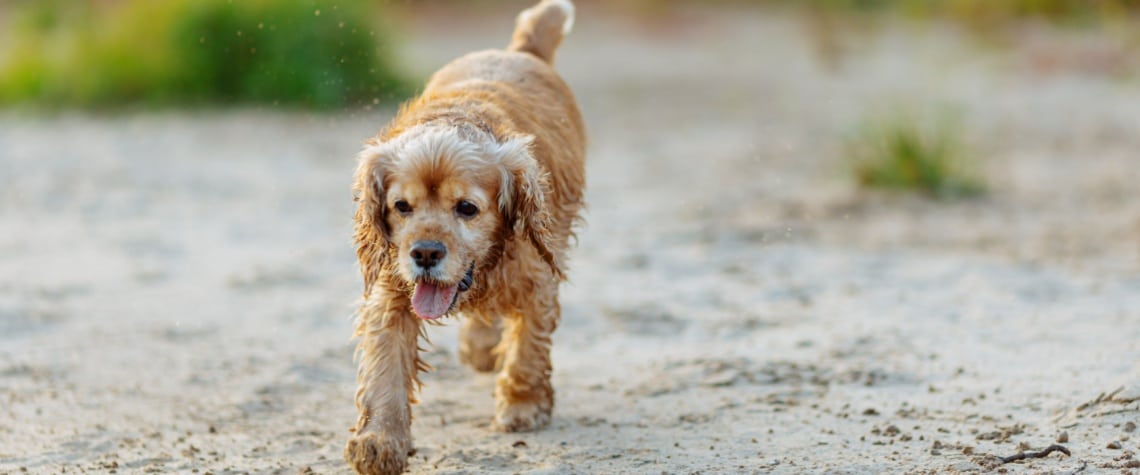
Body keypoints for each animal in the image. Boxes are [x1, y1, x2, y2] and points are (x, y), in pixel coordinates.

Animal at [342, 1, 583, 471]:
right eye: (402, 206)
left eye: (467, 208)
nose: (425, 253)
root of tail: (519, 51)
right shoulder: (392, 290)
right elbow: (384, 366)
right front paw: (379, 440)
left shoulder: (538, 278)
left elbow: (528, 345)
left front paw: (523, 404)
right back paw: (479, 347)